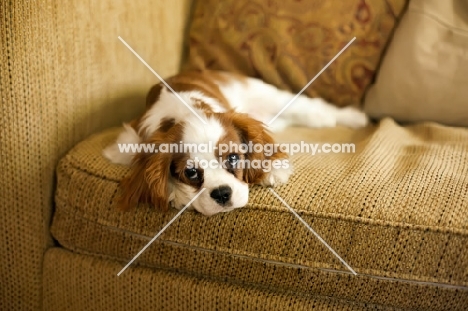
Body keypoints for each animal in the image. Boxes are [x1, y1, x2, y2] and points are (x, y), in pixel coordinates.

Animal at [103, 70, 370, 217]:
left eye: (233, 158)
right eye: (191, 173)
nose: (222, 193)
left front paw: (271, 170)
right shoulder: (128, 142)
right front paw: (177, 193)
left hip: (277, 99)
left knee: (317, 110)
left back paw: (354, 117)